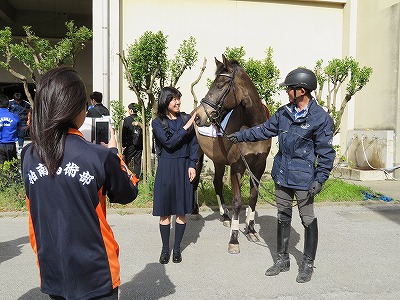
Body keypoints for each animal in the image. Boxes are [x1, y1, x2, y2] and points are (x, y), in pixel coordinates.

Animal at [194, 55, 272, 253]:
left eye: (220, 85)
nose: (199, 116)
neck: (252, 127)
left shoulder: (258, 166)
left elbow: (252, 198)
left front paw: (251, 230)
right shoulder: (237, 167)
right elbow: (237, 202)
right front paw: (234, 240)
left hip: (219, 161)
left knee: (217, 183)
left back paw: (225, 217)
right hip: (197, 157)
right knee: (194, 180)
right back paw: (195, 211)